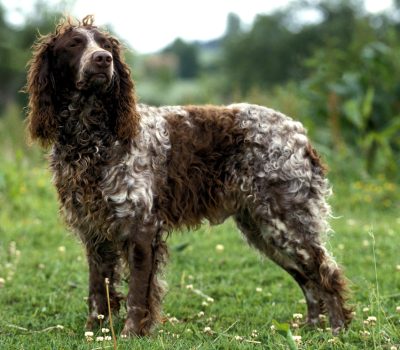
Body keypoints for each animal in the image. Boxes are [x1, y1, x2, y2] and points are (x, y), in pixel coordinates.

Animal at [25, 16, 350, 336]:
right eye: (74, 44)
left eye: (106, 45)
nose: (103, 59)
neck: (92, 137)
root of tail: (299, 133)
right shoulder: (94, 232)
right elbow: (97, 292)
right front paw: (94, 332)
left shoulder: (141, 228)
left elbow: (136, 296)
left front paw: (130, 334)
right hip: (264, 229)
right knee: (308, 280)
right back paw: (311, 329)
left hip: (285, 224)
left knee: (326, 273)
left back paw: (338, 330)